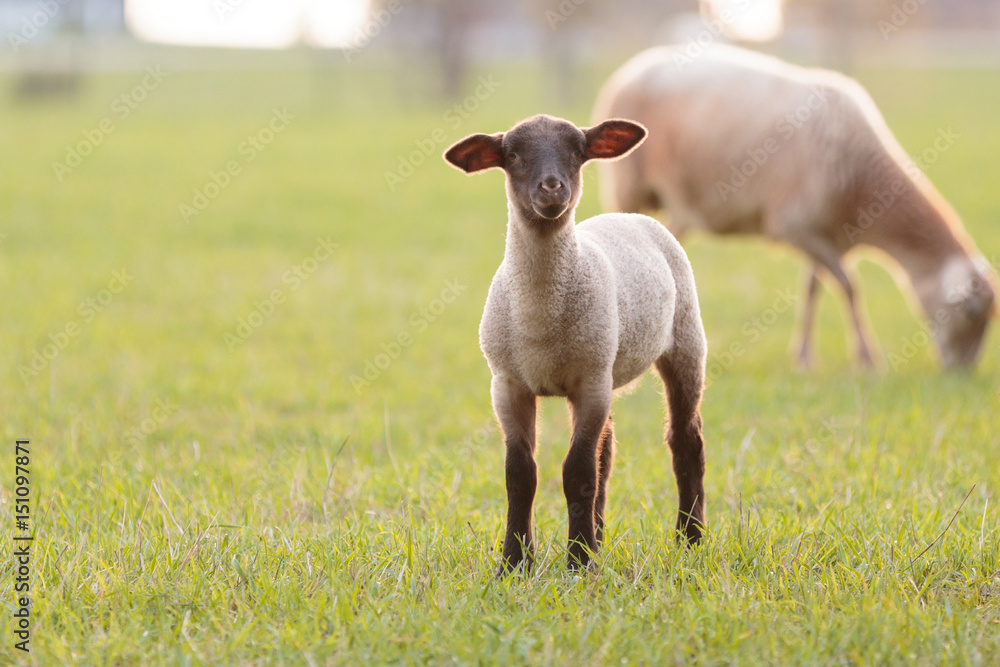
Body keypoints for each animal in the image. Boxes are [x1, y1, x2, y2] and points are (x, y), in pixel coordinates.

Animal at [443, 114, 708, 573]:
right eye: (512, 154)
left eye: (577, 151)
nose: (552, 188)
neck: (540, 321)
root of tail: (627, 214)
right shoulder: (508, 385)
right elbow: (521, 474)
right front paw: (515, 562)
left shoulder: (590, 381)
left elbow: (578, 472)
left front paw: (578, 563)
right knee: (608, 449)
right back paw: (600, 537)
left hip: (685, 341)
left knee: (685, 441)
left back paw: (689, 539)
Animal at [594, 45, 996, 370]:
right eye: (971, 315)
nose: (963, 372)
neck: (864, 185)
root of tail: (630, 68)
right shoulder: (793, 225)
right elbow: (849, 285)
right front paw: (867, 359)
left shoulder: (827, 232)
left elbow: (814, 288)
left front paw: (804, 358)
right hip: (628, 184)